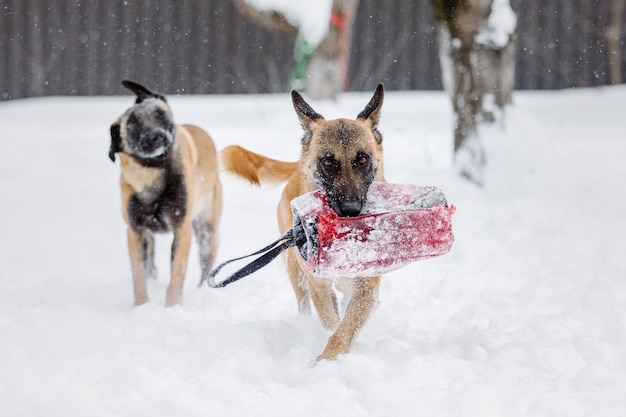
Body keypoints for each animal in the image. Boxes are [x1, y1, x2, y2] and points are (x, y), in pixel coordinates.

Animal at [109, 79, 222, 306]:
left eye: (160, 114)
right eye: (133, 122)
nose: (156, 136)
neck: (153, 175)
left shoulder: (182, 230)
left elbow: (176, 275)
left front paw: (172, 307)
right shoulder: (135, 231)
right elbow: (139, 276)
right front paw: (142, 306)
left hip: (206, 232)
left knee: (206, 267)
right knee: (150, 263)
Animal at [219, 83, 386, 358]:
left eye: (362, 160)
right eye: (328, 161)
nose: (350, 210)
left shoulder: (366, 288)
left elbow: (344, 329)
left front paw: (328, 359)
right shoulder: (319, 285)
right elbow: (333, 325)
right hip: (296, 272)